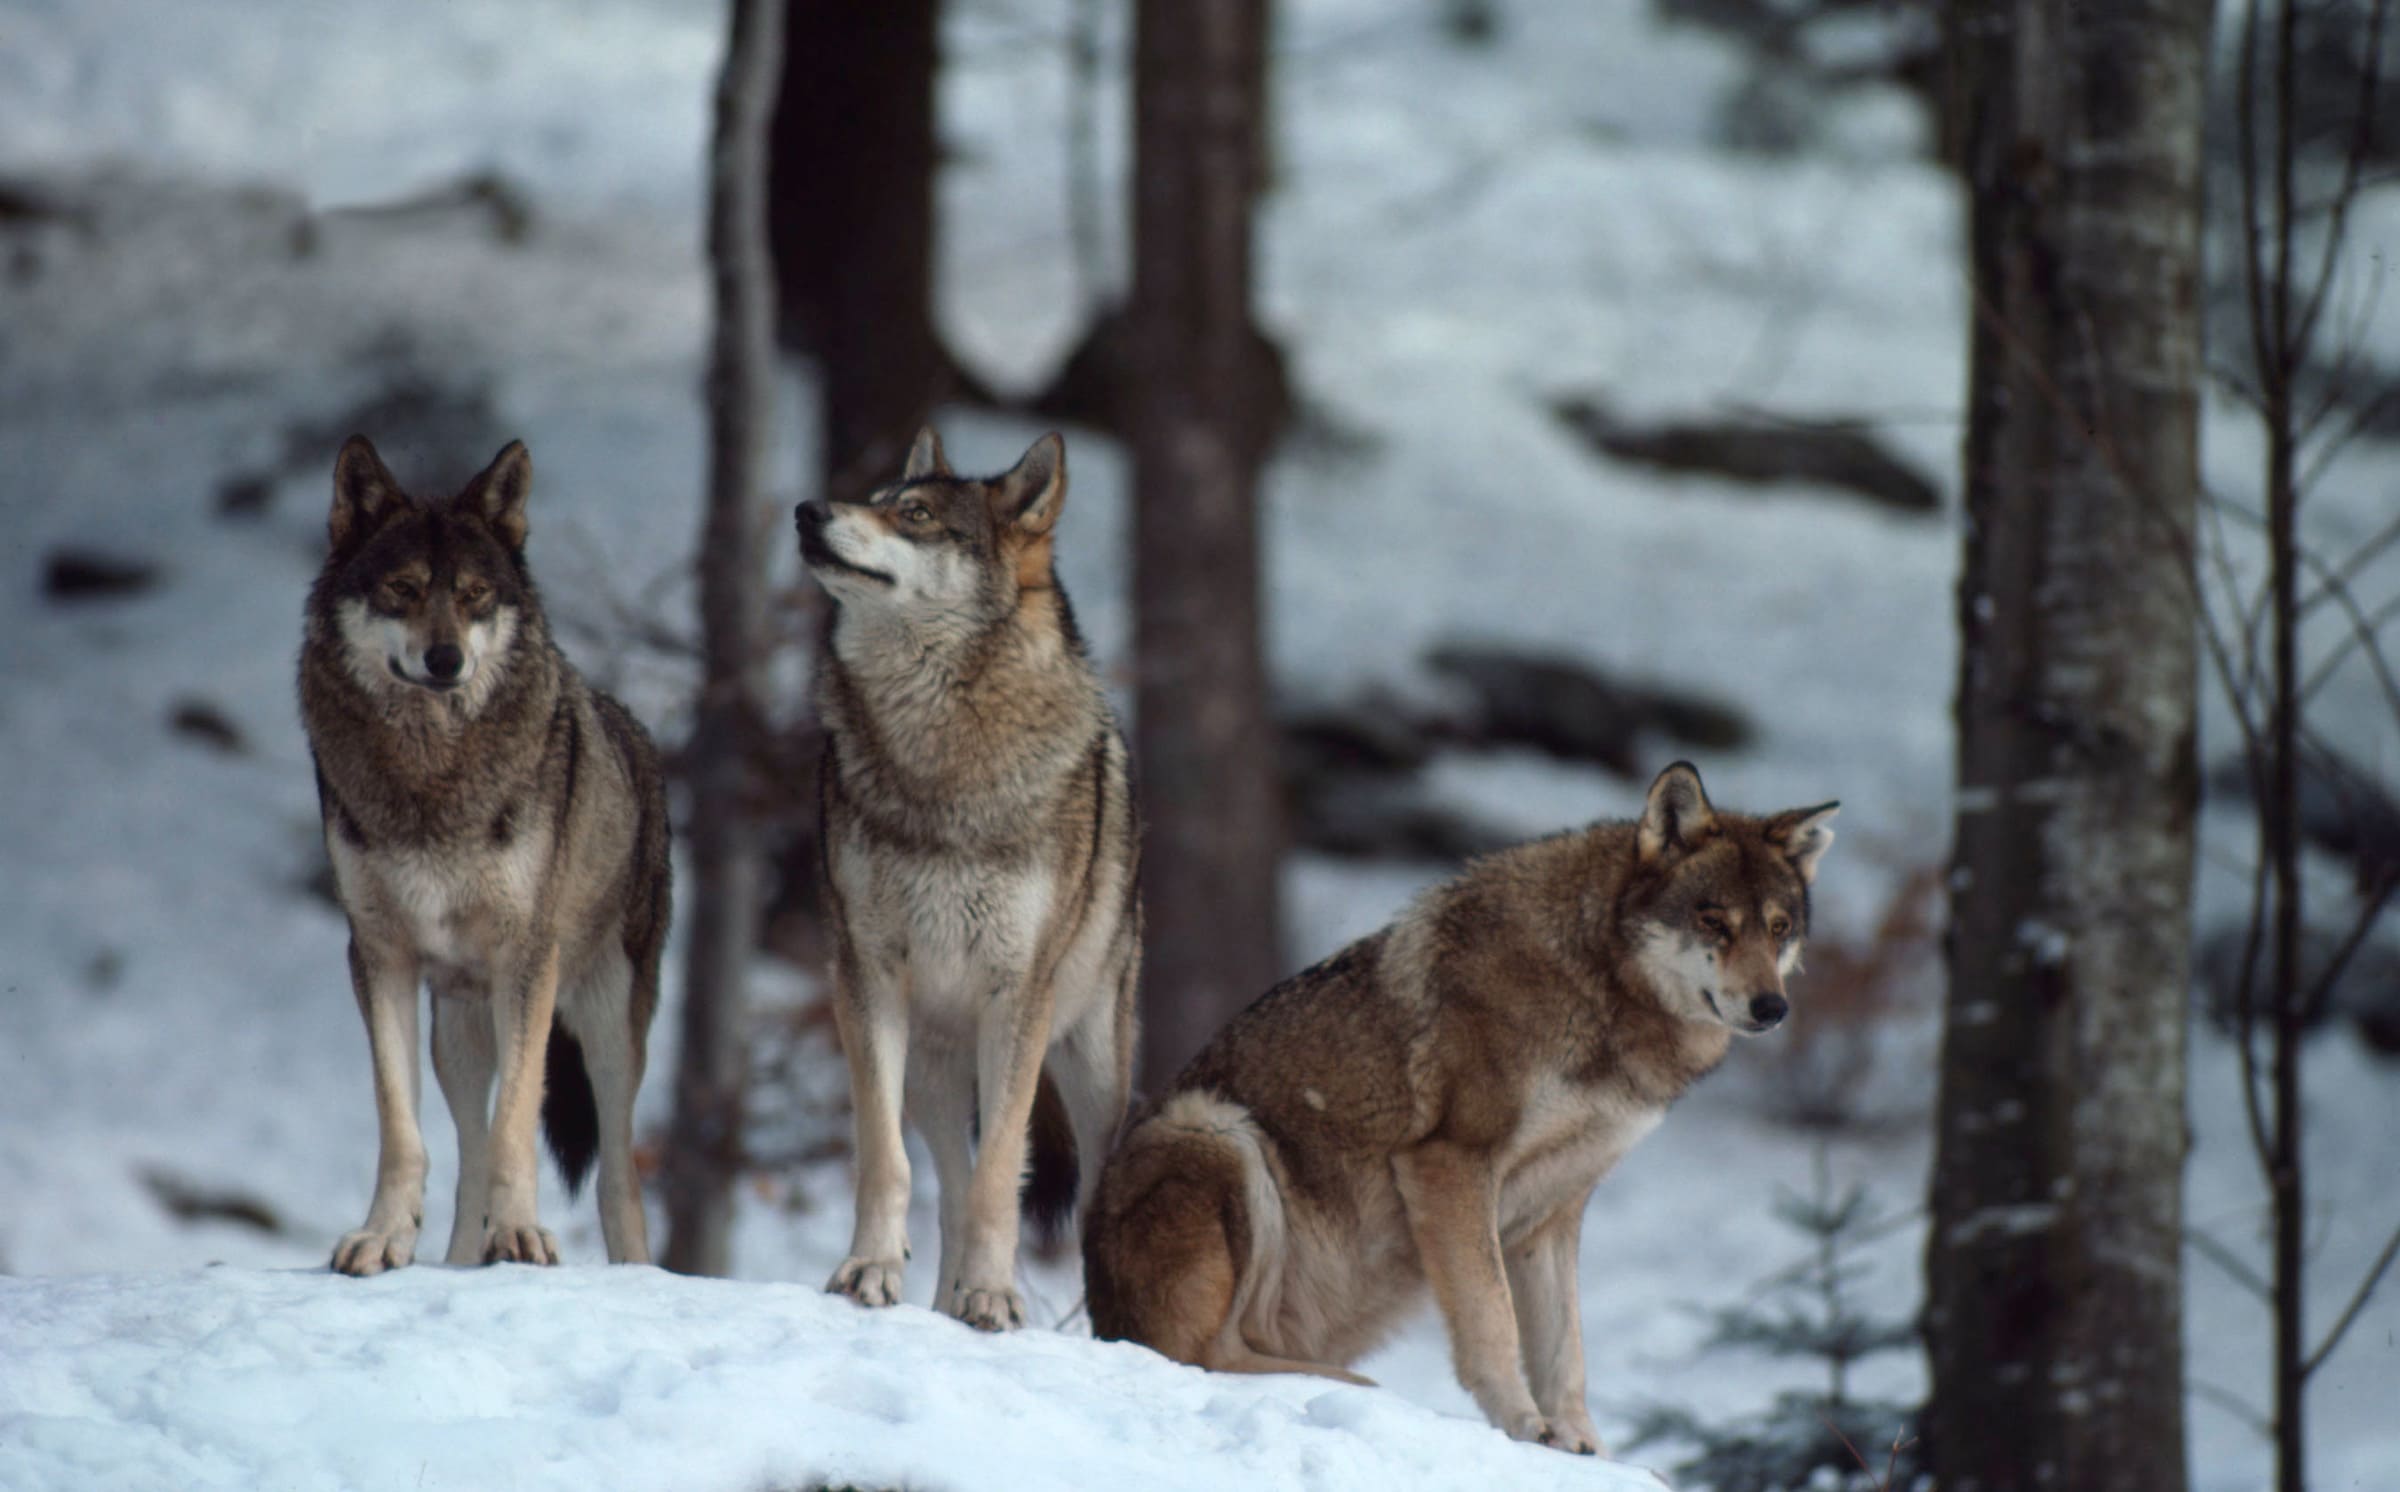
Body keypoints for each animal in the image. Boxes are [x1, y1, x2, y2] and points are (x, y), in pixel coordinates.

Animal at [304, 438, 676, 1276]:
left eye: (475, 595)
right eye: (404, 589)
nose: (444, 660)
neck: (432, 775)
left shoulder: (526, 960)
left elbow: (517, 1126)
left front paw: (522, 1235)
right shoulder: (378, 955)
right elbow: (402, 1127)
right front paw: (383, 1237)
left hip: (606, 1030)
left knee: (618, 1175)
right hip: (458, 1033)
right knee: (468, 1153)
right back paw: (458, 1264)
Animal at [796, 426, 1142, 1343]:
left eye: (914, 514)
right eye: (875, 498)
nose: (806, 509)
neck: (940, 751)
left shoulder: (1018, 994)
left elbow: (1001, 1179)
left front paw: (993, 1298)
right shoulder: (865, 978)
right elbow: (886, 1162)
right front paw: (867, 1272)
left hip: (1093, 1067)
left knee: (1073, 1195)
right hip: (933, 1069)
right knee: (947, 1189)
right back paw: (941, 1300)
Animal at [1084, 767, 1833, 1458]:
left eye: (1778, 928)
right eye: (1714, 920)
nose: (1773, 1007)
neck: (1597, 984)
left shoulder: (1553, 1211)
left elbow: (1565, 1352)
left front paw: (1582, 1445)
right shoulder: (1450, 1163)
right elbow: (1492, 1319)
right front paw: (1526, 1427)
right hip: (1216, 1132)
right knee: (1198, 1353)